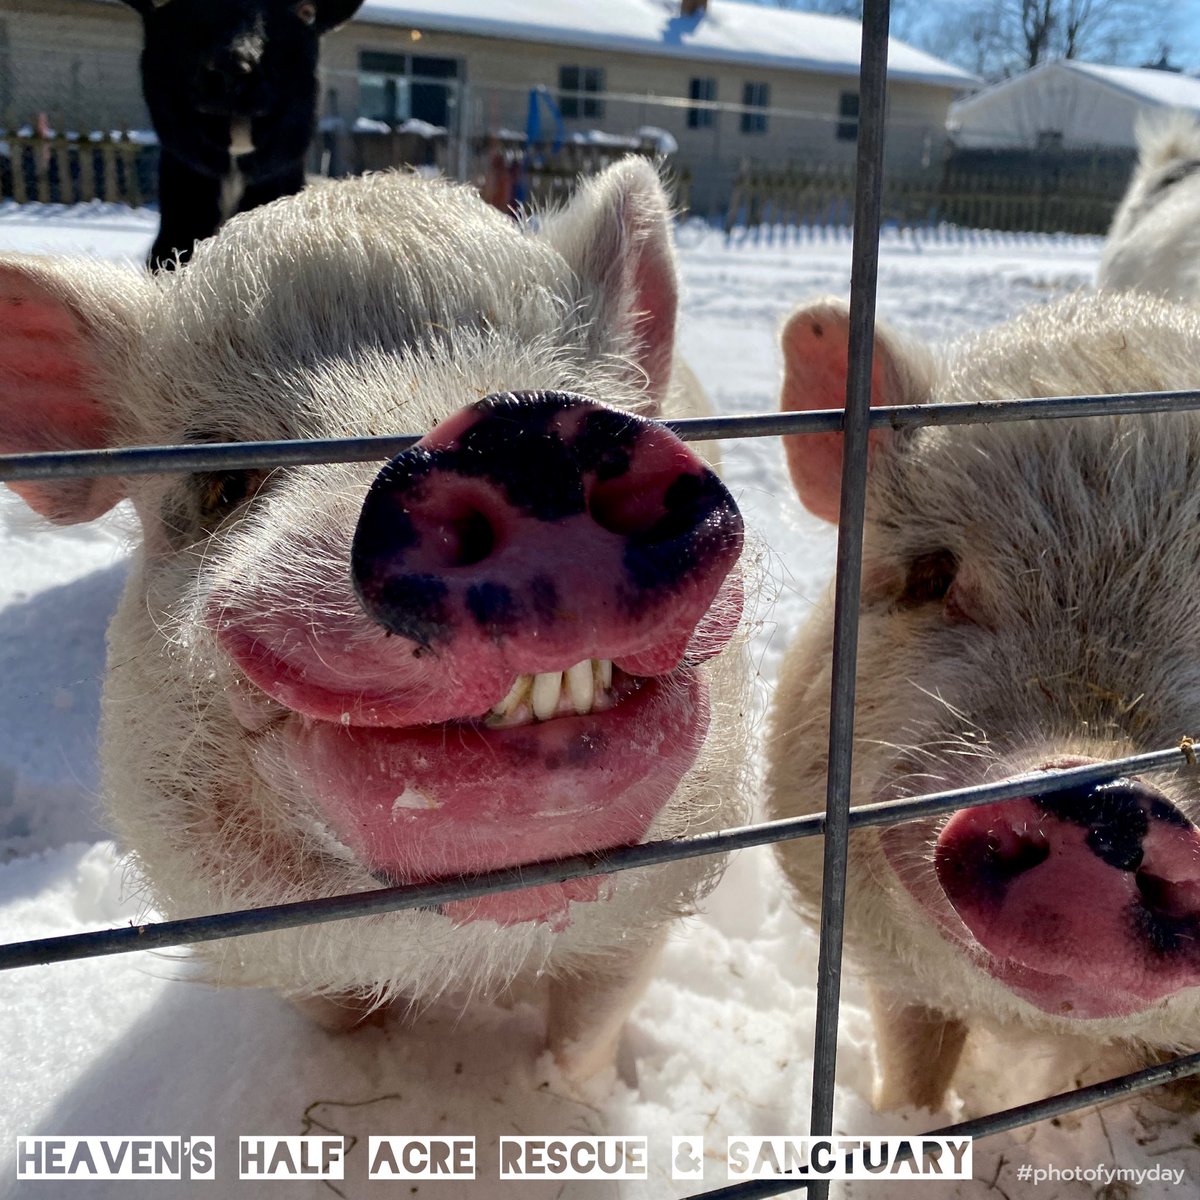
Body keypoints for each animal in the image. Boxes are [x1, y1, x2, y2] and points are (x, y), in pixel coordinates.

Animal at [0, 159, 744, 1080]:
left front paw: (565, 1093)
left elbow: (586, 1033)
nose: (519, 432)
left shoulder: (644, 920)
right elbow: (347, 1028)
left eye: (580, 392)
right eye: (219, 484)